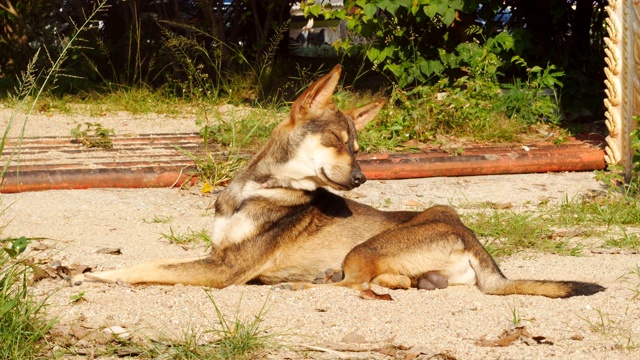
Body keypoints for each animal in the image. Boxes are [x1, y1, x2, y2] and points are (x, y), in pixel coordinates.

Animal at [75, 64, 604, 298]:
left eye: (358, 146)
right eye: (336, 139)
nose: (363, 177)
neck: (258, 189)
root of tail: (470, 238)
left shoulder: (223, 269)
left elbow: (150, 266)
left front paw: (100, 273)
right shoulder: (218, 255)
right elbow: (158, 259)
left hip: (363, 247)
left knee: (351, 283)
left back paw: (310, 281)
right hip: (432, 223)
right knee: (390, 283)